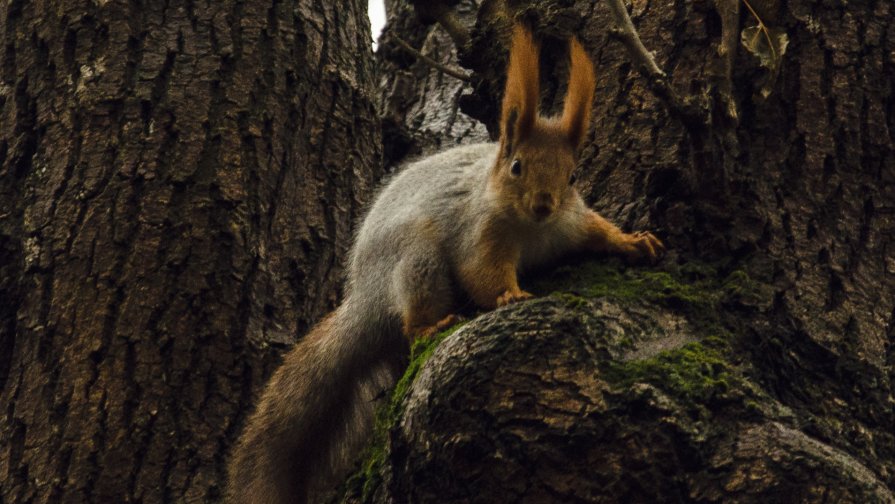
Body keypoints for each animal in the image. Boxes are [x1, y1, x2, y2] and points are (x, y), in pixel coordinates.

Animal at [231, 24, 664, 504]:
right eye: (516, 167)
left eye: (572, 176)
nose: (543, 205)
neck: (532, 230)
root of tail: (364, 297)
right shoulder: (479, 233)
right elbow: (481, 272)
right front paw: (509, 294)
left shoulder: (570, 223)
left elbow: (598, 231)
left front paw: (633, 242)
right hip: (417, 261)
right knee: (412, 318)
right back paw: (430, 324)